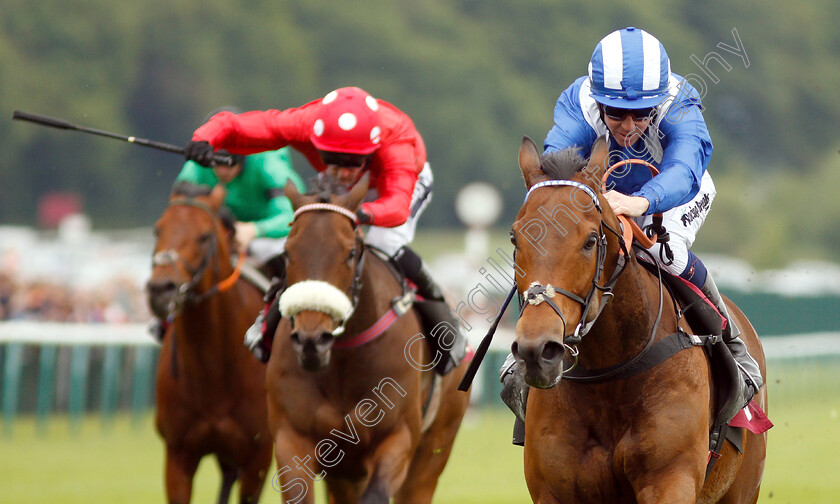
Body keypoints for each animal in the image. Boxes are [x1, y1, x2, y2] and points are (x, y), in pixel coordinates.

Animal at [266, 177, 470, 504]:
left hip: (433, 449)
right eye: (287, 252)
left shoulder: (398, 437)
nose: (313, 341)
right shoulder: (291, 438)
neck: (342, 364)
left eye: (350, 253)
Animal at [512, 136, 768, 502]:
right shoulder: (553, 490)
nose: (536, 350)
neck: (609, 377)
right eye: (515, 238)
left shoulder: (670, 478)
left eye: (590, 240)